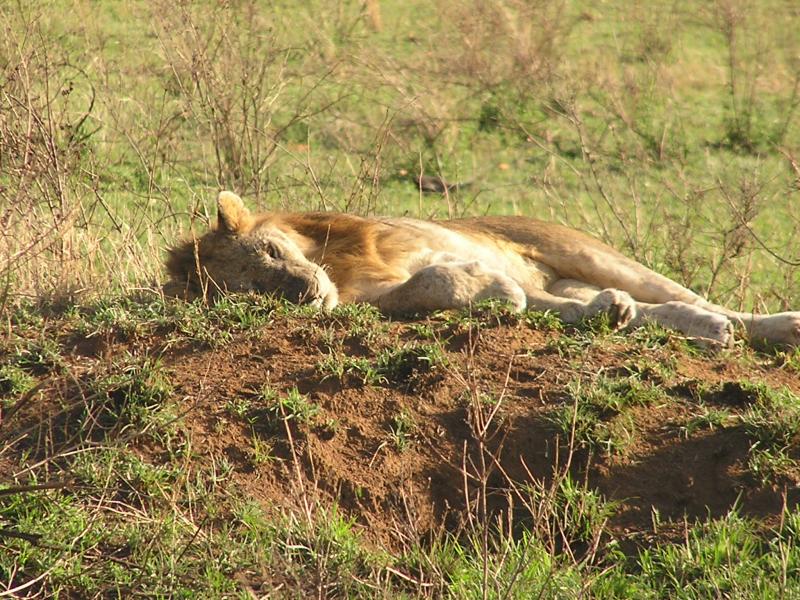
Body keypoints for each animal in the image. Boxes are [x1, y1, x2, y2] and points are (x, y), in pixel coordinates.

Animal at [166, 190, 800, 350]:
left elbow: (435, 270)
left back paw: (774, 326)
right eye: (253, 293)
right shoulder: (382, 295)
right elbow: (432, 285)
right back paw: (623, 314)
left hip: (586, 252)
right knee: (631, 308)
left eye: (271, 254)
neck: (336, 272)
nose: (302, 293)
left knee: (699, 299)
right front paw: (492, 291)